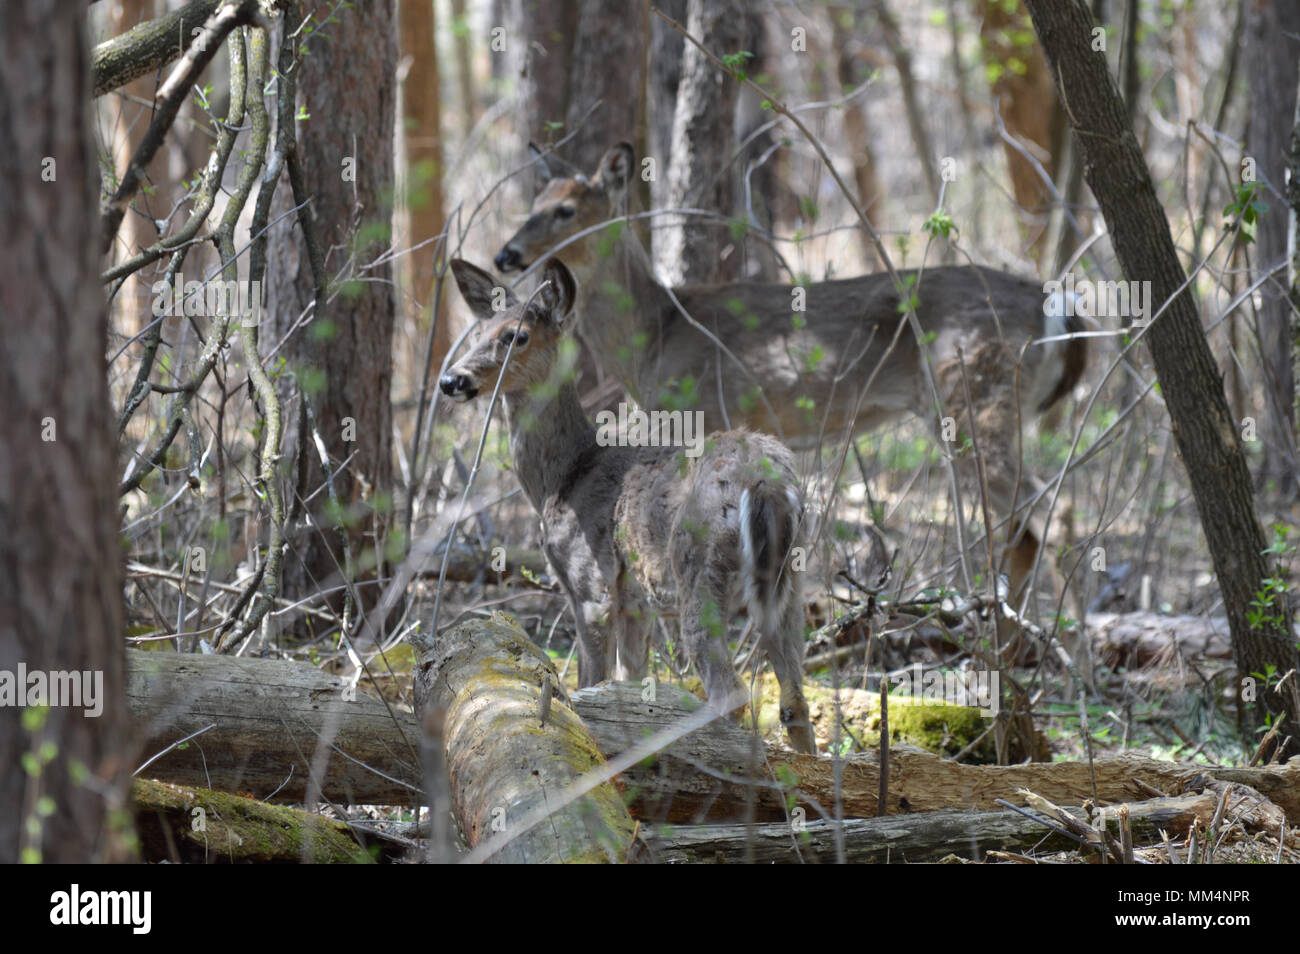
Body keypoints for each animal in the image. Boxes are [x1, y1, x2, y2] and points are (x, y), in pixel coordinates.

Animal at [441, 257, 816, 759]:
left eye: (516, 336)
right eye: (479, 331)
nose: (452, 380)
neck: (564, 477)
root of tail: (767, 483)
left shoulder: (590, 586)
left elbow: (590, 681)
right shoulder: (636, 603)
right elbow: (629, 677)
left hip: (698, 568)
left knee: (730, 692)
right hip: (792, 582)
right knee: (795, 702)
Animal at [496, 140, 1097, 681]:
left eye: (567, 209)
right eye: (534, 201)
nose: (506, 254)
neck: (657, 335)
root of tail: (1058, 306)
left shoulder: (702, 409)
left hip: (973, 394)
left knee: (1042, 519)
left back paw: (1042, 660)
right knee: (1032, 525)